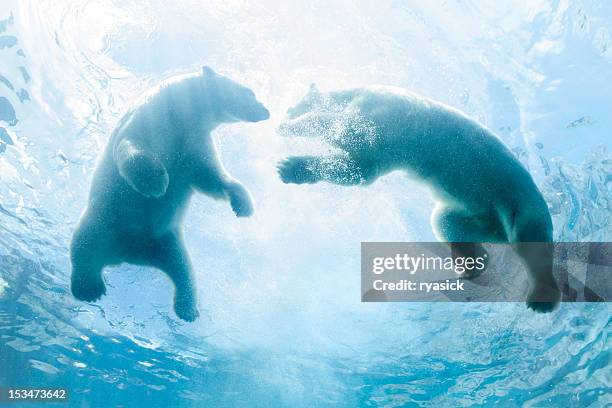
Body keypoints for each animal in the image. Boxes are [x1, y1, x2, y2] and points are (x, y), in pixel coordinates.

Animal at [70, 67, 270, 322]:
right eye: (250, 92)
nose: (266, 111)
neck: (182, 111)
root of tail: (126, 255)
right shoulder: (151, 118)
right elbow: (132, 146)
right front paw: (154, 183)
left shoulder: (193, 139)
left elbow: (207, 175)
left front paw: (242, 203)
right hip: (103, 219)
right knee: (84, 243)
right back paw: (89, 288)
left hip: (166, 240)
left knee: (183, 269)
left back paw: (188, 309)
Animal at [278, 83, 560, 312]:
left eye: (294, 103)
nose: (286, 112)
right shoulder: (383, 147)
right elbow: (358, 169)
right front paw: (289, 168)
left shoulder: (378, 114)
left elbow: (345, 133)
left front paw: (291, 131)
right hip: (477, 214)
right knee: (447, 223)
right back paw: (467, 268)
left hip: (519, 200)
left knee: (531, 244)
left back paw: (541, 298)